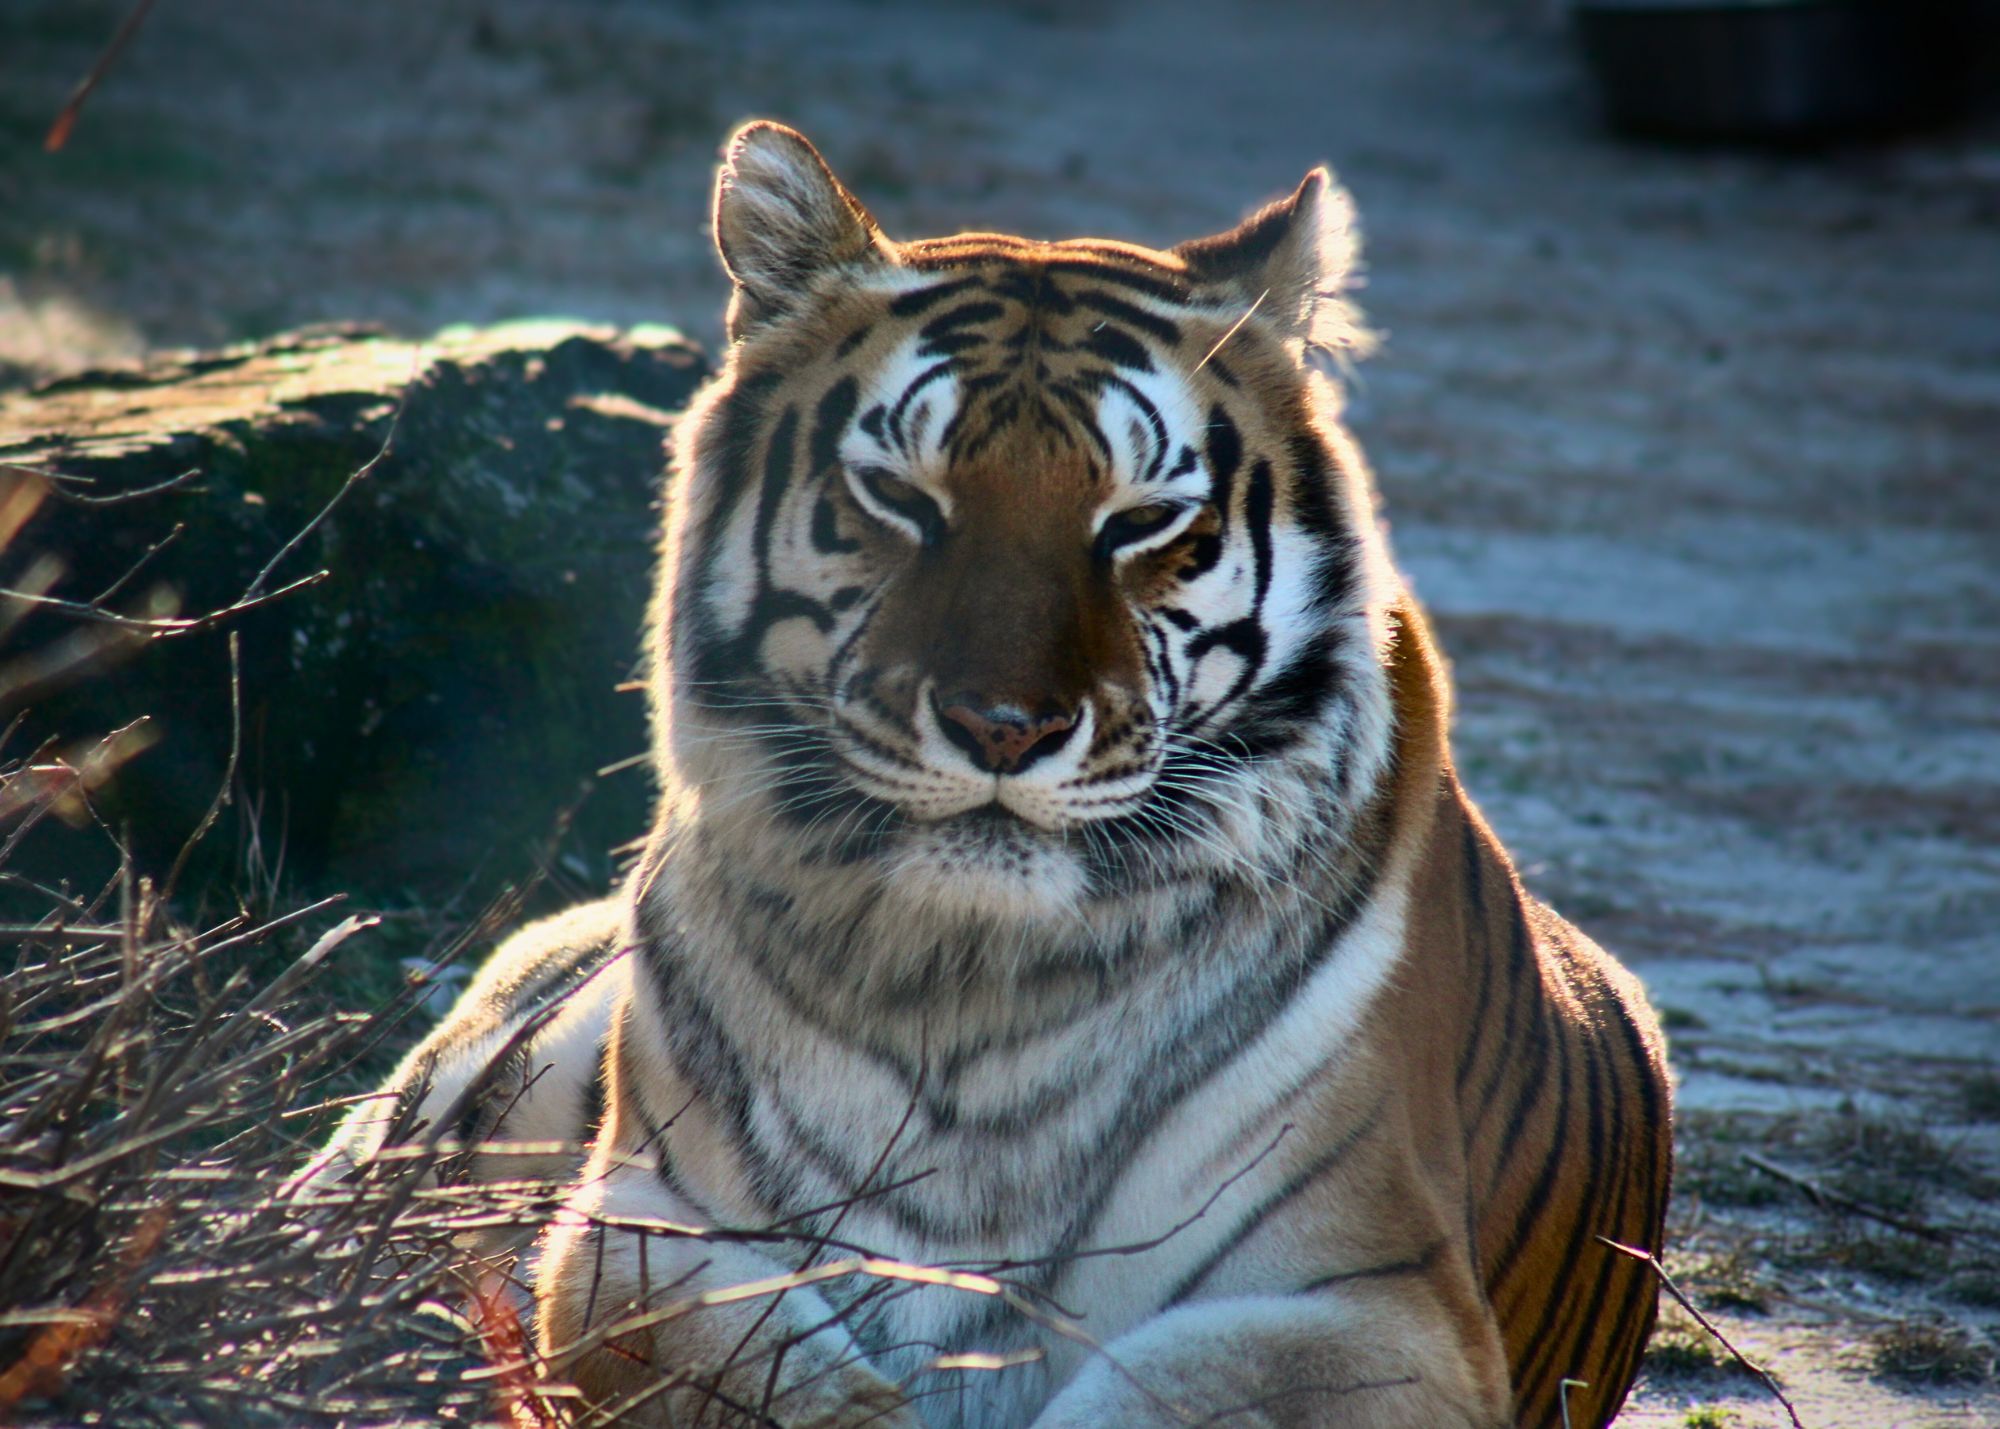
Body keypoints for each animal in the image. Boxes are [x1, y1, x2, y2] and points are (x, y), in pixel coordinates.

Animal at [302, 120, 1673, 1428]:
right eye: (900, 497)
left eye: (1139, 522)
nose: (1003, 726)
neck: (970, 983)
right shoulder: (645, 1224)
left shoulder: (1374, 1302)